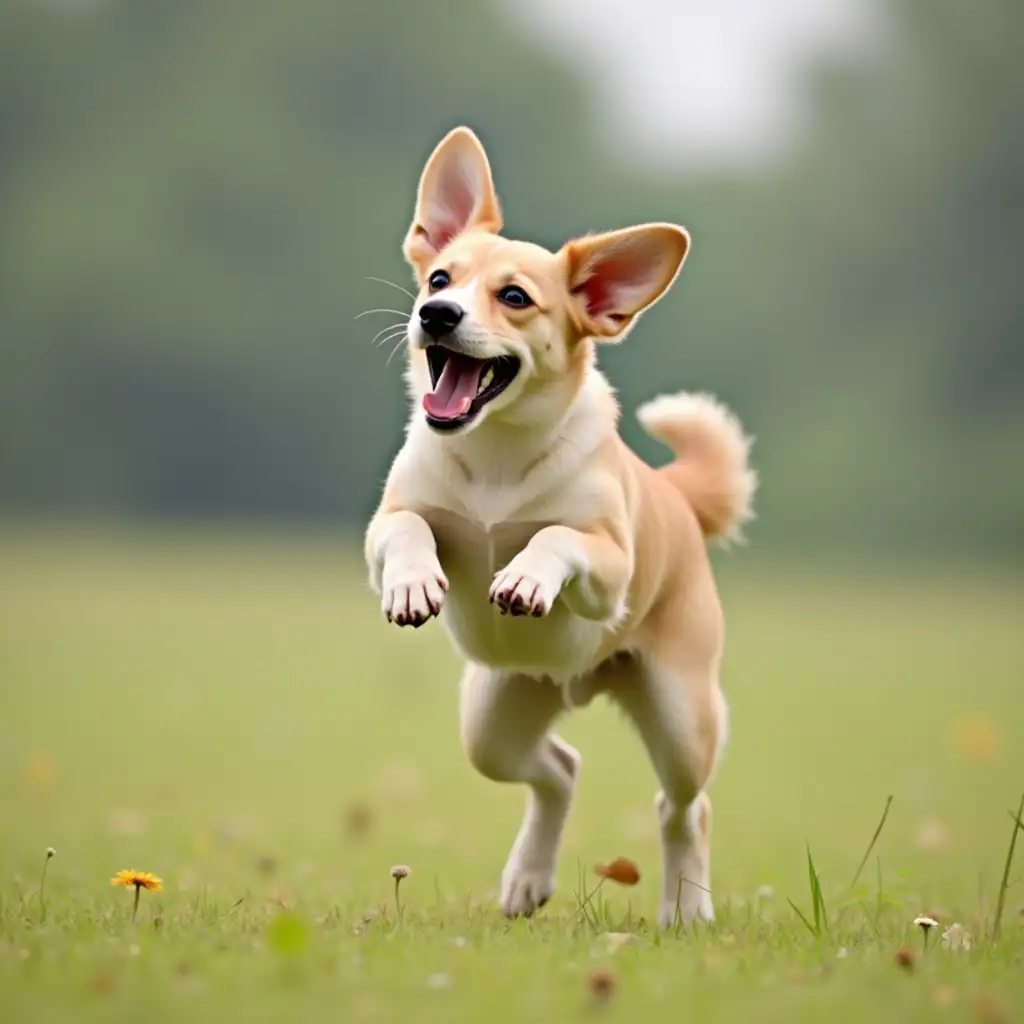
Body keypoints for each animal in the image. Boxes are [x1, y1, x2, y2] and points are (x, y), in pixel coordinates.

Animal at [364, 128, 757, 929]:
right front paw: (415, 584)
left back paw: (685, 907)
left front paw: (523, 574)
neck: (496, 455)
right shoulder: (384, 524)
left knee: (683, 808)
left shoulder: (608, 565)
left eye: (514, 297)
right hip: (492, 720)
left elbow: (557, 538)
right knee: (558, 770)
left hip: (683, 717)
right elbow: (409, 528)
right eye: (439, 278)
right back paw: (527, 878)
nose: (437, 314)